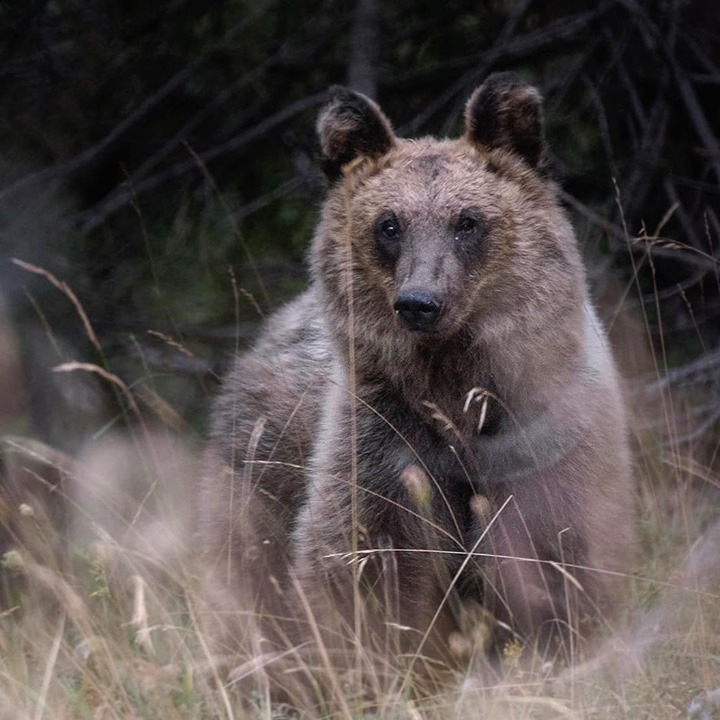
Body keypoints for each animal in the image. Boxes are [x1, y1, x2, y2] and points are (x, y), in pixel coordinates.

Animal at [197, 71, 636, 680]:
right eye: (389, 225)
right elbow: (365, 563)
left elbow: (557, 546)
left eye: (468, 221)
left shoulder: (544, 439)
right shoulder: (384, 444)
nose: (419, 302)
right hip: (259, 465)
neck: (452, 384)